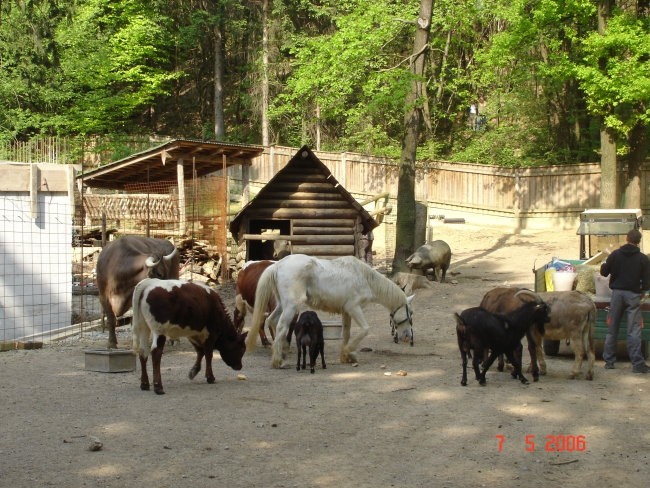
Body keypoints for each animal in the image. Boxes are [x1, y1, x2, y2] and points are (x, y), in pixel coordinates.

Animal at [245, 254, 415, 368]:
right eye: (410, 314)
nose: (407, 336)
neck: (364, 278)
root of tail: (278, 265)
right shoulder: (354, 308)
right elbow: (365, 329)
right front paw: (349, 351)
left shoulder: (346, 312)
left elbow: (346, 333)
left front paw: (346, 356)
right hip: (291, 306)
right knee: (281, 326)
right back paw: (278, 360)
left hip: (282, 305)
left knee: (271, 321)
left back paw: (282, 352)